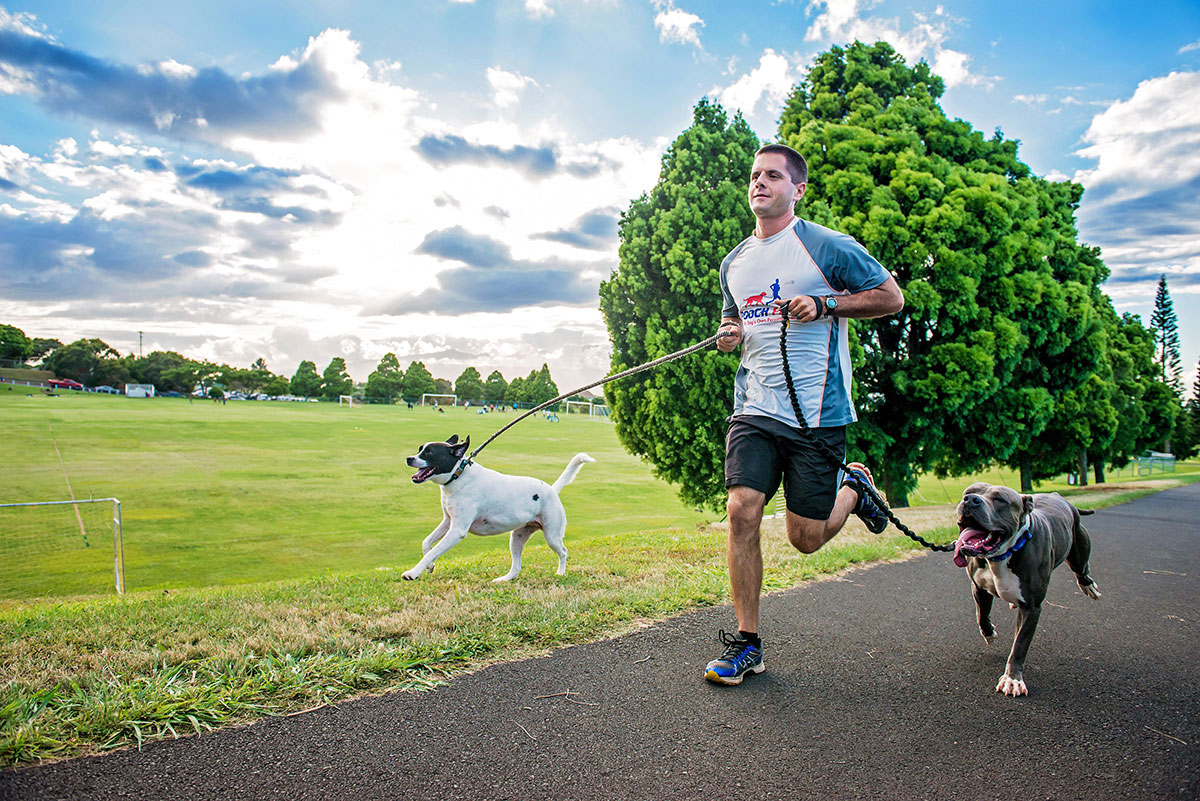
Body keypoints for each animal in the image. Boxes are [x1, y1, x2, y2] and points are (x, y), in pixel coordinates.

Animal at [400, 434, 592, 577]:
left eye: (429, 452)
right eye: (420, 449)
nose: (409, 458)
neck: (458, 476)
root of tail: (552, 490)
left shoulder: (457, 531)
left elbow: (434, 551)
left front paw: (413, 572)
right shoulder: (448, 521)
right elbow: (426, 542)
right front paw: (430, 566)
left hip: (552, 536)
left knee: (563, 551)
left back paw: (560, 572)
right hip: (517, 537)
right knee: (517, 568)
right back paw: (503, 580)